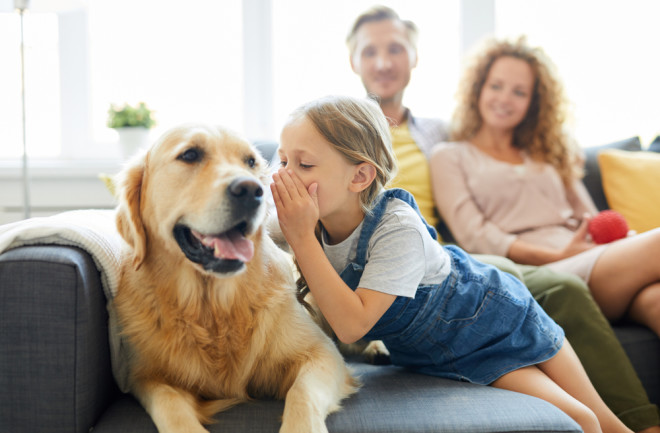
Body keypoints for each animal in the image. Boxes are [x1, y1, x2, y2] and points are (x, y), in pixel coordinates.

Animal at [116, 123, 358, 430]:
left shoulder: (322, 352)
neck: (214, 308)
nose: (251, 190)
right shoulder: (147, 376)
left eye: (250, 162)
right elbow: (170, 406)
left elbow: (302, 392)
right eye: (190, 154)